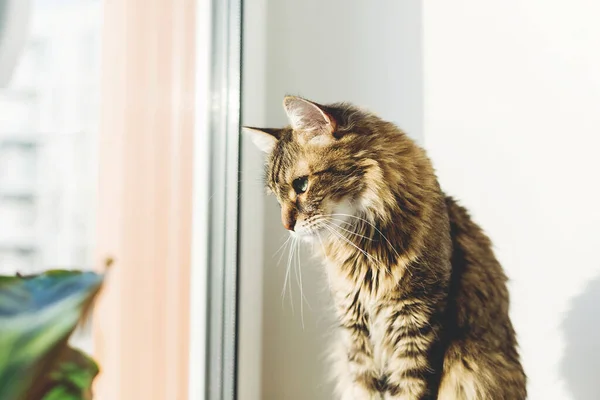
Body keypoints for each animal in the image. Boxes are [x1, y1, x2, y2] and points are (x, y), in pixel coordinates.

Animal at [244, 95, 524, 398]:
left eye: (302, 184)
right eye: (277, 199)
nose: (287, 226)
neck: (362, 247)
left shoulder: (416, 323)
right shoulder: (355, 329)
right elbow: (365, 387)